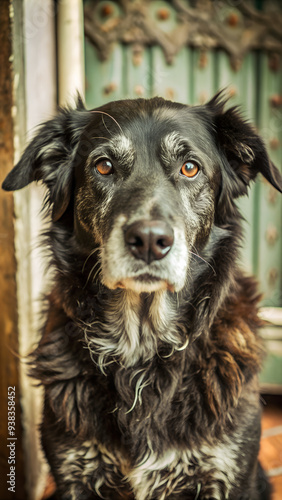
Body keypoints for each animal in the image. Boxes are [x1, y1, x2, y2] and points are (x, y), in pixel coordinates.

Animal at [2, 92, 282, 498]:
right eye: (103, 166)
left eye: (190, 168)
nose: (150, 240)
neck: (142, 346)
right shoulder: (74, 473)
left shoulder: (227, 475)